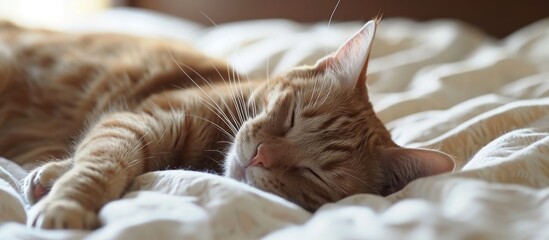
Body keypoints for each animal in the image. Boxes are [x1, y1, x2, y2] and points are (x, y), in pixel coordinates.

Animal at [0, 19, 454, 230]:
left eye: (314, 173)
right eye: (290, 117)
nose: (261, 156)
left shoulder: (133, 124)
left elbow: (105, 158)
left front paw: (54, 186)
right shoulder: (139, 119)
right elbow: (103, 161)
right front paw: (65, 197)